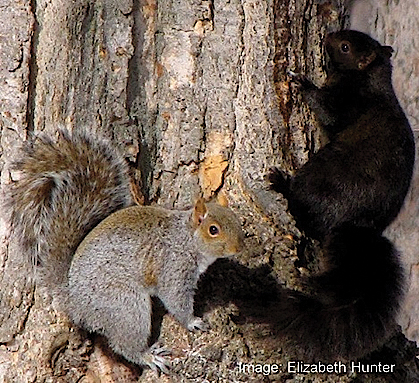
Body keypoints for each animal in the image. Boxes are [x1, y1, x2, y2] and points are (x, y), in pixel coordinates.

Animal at [4, 128, 244, 372]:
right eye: (213, 230)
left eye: (236, 219)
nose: (239, 248)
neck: (186, 238)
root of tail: (73, 300)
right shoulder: (173, 267)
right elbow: (176, 300)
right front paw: (193, 321)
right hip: (126, 305)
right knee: (125, 344)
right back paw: (148, 356)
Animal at [270, 29, 416, 360]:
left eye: (346, 47)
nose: (328, 35)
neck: (369, 78)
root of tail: (358, 224)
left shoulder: (348, 103)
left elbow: (327, 111)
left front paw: (301, 82)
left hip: (320, 175)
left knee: (304, 211)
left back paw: (283, 184)